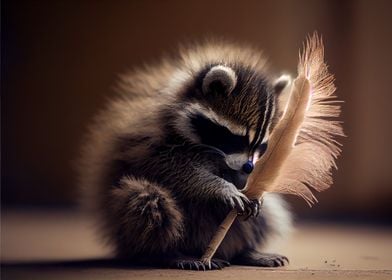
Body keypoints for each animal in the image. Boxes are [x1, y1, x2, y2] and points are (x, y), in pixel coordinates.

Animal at [77, 40, 290, 270]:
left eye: (262, 145)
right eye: (237, 139)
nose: (249, 168)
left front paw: (249, 187)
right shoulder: (149, 136)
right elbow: (171, 167)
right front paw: (220, 187)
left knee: (267, 213)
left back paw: (244, 251)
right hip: (128, 220)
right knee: (148, 201)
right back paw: (167, 253)